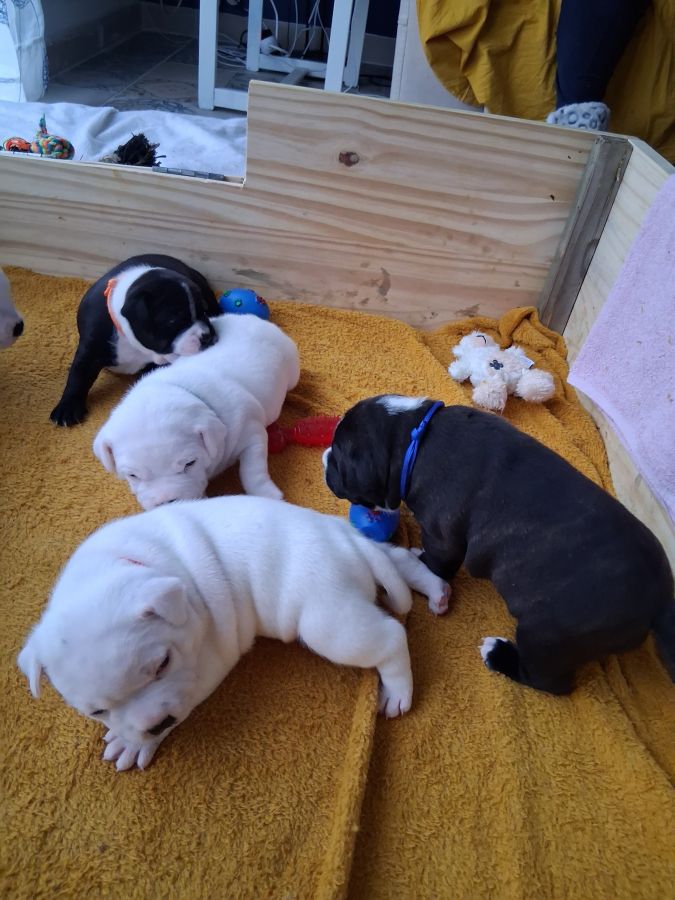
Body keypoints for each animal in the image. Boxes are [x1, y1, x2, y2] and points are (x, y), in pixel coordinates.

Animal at [17, 495, 450, 770]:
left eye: (162, 665)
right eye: (96, 712)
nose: (153, 724)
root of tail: (350, 544)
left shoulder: (205, 662)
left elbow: (184, 697)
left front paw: (136, 742)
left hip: (328, 621)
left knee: (390, 637)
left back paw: (398, 691)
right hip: (365, 564)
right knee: (400, 559)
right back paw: (435, 588)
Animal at [50, 254, 221, 427]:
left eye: (204, 312)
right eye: (173, 321)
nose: (206, 335)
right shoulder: (90, 348)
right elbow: (79, 375)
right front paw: (67, 407)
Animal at [93, 313, 300, 509]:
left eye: (189, 464)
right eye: (133, 475)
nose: (167, 501)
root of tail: (252, 319)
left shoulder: (251, 430)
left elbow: (252, 468)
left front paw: (268, 495)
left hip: (292, 369)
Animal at [323, 394, 675, 695]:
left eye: (338, 459)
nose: (324, 457)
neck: (412, 437)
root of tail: (660, 600)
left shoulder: (442, 536)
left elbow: (437, 563)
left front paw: (420, 565)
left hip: (546, 635)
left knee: (549, 682)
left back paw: (498, 654)